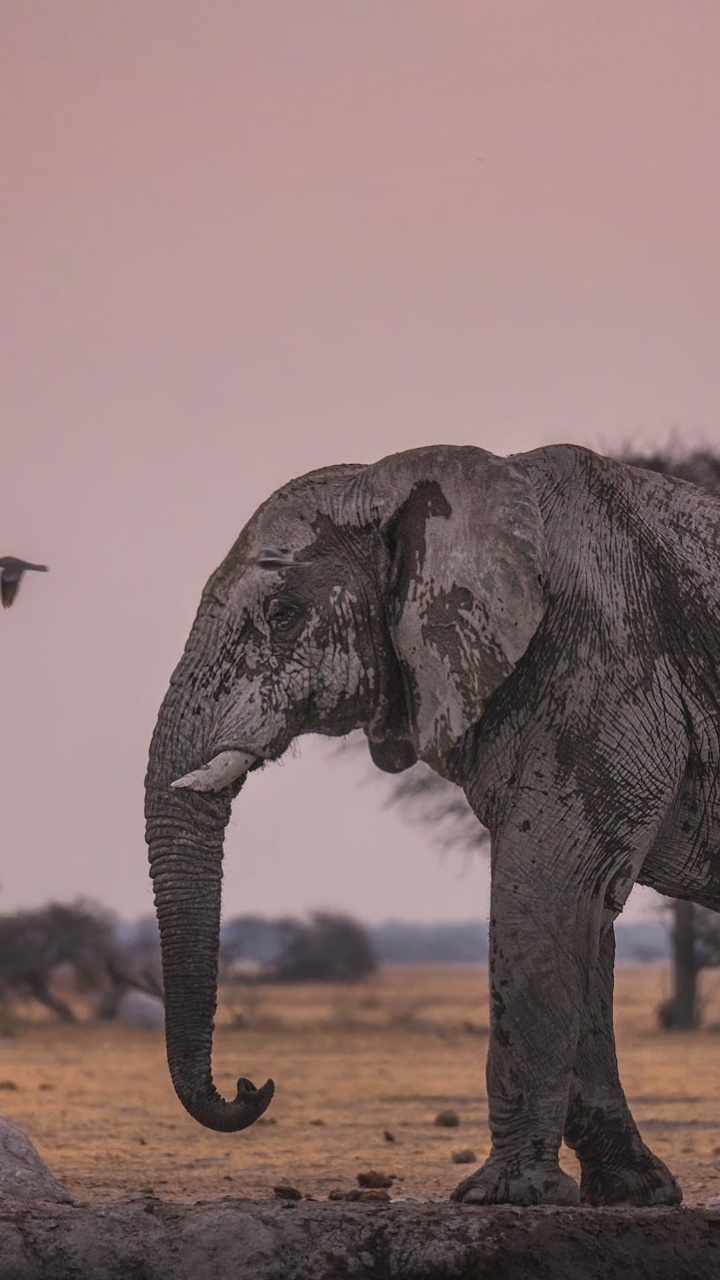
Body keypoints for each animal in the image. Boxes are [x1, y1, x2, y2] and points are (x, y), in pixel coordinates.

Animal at [142, 445, 717, 1203]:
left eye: (283, 614)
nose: (250, 1085)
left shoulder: (607, 663)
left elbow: (552, 890)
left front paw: (504, 1197)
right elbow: (586, 913)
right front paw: (632, 1194)